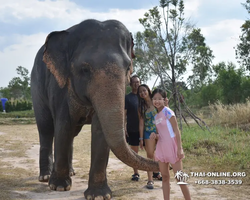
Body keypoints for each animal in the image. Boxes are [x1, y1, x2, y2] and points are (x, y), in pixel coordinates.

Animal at [30, 19, 157, 200]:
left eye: (127, 68)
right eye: (85, 69)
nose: (170, 165)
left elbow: (99, 130)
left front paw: (99, 195)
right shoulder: (59, 87)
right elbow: (63, 125)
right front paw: (59, 187)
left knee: (71, 134)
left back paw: (71, 172)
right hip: (36, 89)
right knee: (46, 129)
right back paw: (45, 177)